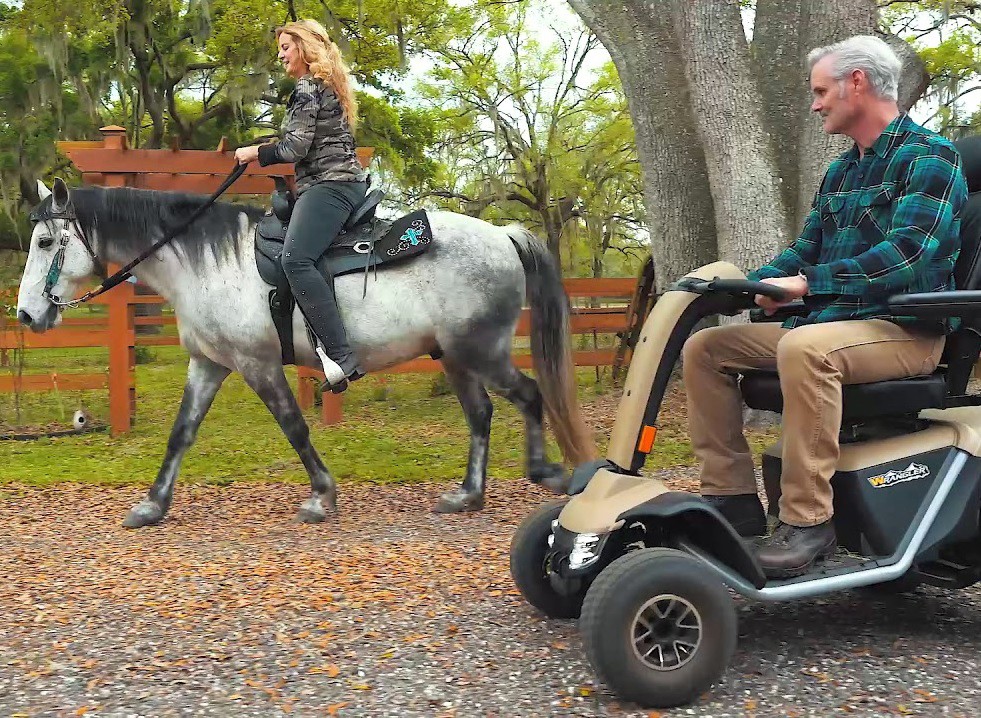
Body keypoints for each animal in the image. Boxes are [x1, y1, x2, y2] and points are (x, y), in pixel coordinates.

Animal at [17, 180, 596, 528]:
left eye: (45, 242)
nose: (25, 315)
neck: (208, 264)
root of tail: (504, 234)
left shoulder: (256, 364)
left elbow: (294, 426)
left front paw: (322, 495)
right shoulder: (209, 363)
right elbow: (182, 432)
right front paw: (153, 504)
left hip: (482, 352)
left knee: (529, 395)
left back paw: (545, 471)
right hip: (454, 357)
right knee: (481, 414)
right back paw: (467, 495)